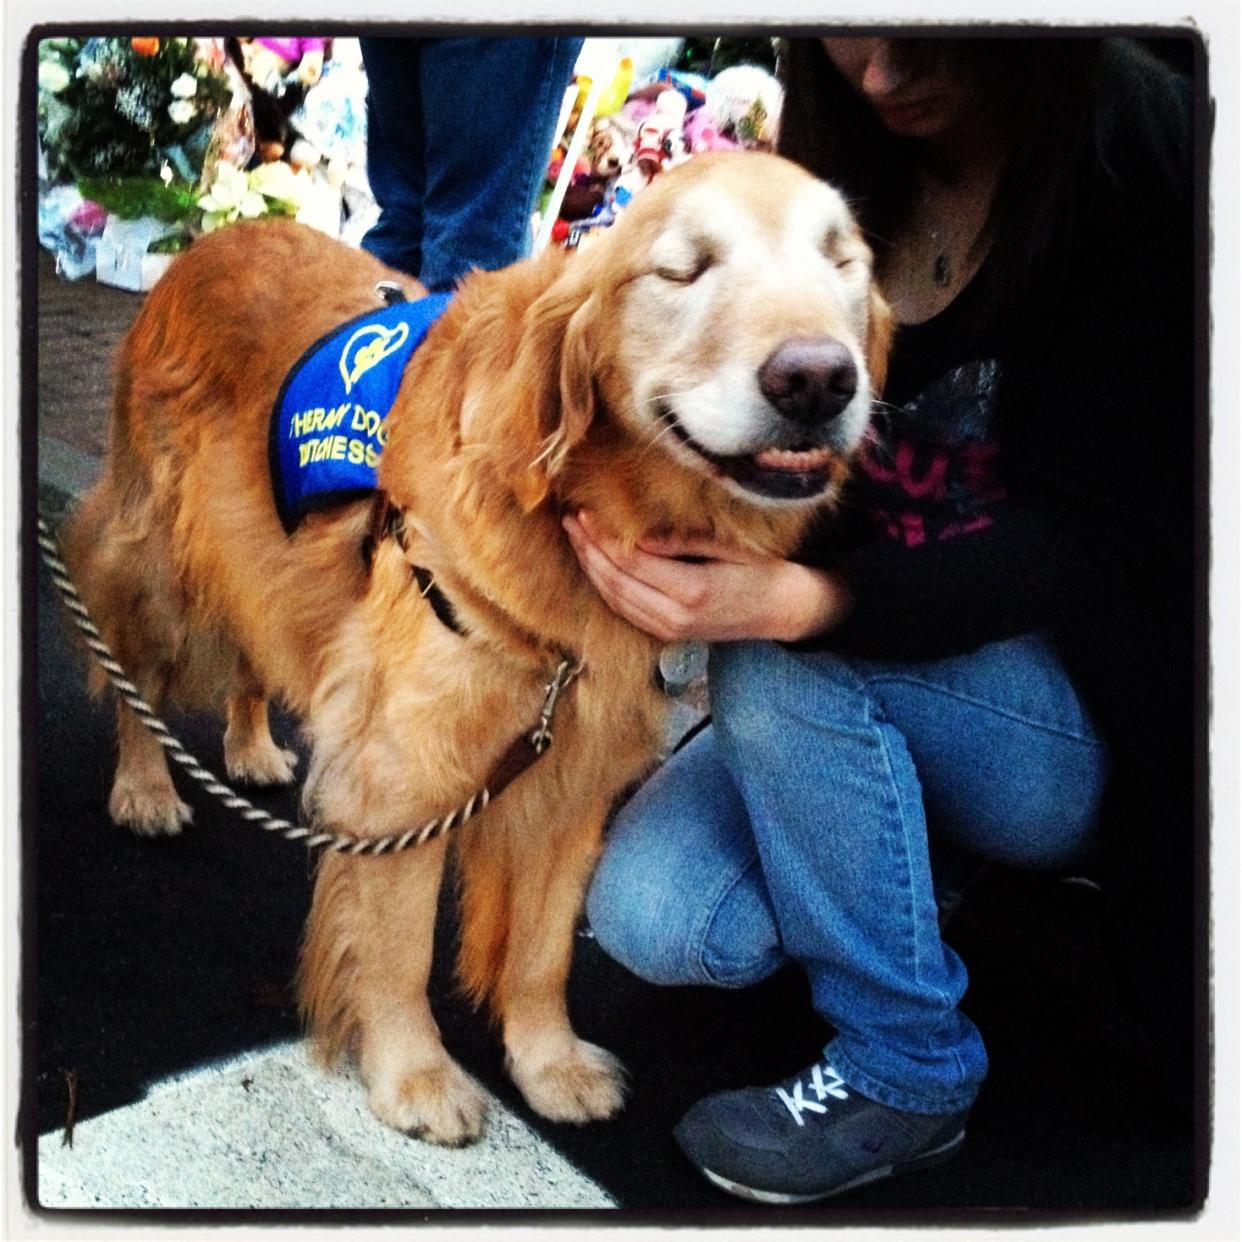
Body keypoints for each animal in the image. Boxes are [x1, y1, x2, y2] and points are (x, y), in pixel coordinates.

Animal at [63, 152, 894, 1142]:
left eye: (842, 263)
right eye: (683, 270)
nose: (818, 380)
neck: (578, 511)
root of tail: (222, 231)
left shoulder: (574, 775)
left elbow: (541, 950)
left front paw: (547, 1063)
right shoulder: (406, 771)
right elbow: (401, 946)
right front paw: (415, 1076)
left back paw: (253, 743)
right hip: (164, 566)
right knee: (134, 676)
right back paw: (144, 787)